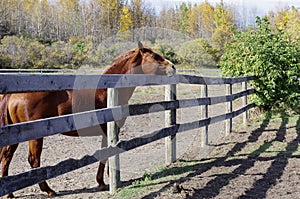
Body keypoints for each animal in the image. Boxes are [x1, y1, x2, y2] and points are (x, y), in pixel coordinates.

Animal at [0, 42, 176, 197]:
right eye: (155, 56)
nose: (173, 67)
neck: (107, 88)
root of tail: (12, 94)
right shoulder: (108, 129)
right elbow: (105, 153)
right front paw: (104, 182)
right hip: (36, 136)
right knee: (34, 161)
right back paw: (48, 190)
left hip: (15, 135)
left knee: (6, 157)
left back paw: (9, 193)